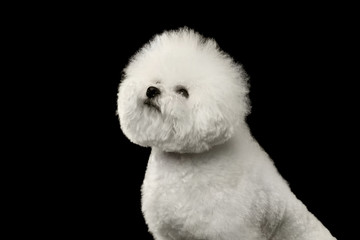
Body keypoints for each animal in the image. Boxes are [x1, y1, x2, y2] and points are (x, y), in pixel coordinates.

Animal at [116, 28, 336, 240]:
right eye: (157, 81)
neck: (182, 163)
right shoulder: (167, 232)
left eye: (183, 92)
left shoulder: (230, 231)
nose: (151, 90)